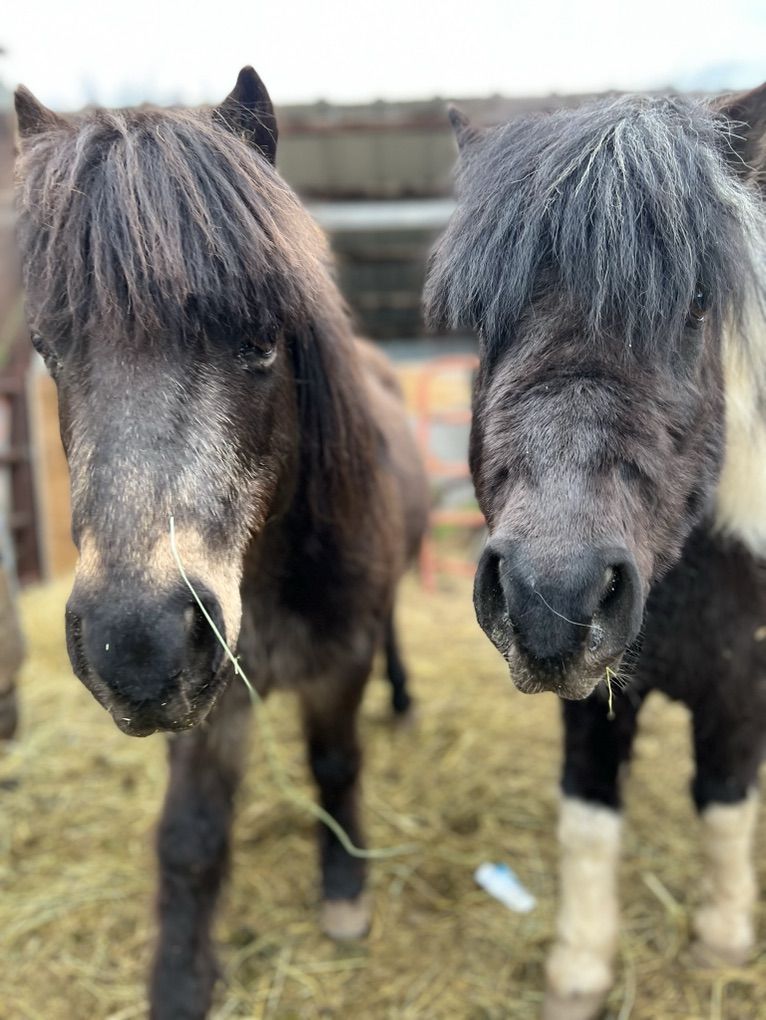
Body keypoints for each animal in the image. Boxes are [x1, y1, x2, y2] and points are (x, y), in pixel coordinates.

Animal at [14, 67, 429, 1019]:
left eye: (264, 337)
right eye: (47, 347)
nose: (135, 648)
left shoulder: (338, 663)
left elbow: (334, 763)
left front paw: (345, 893)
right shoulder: (210, 705)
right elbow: (191, 835)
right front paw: (178, 979)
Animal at [425, 85, 766, 1019]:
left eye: (695, 303)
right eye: (482, 317)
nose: (553, 597)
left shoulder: (739, 689)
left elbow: (724, 805)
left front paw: (721, 940)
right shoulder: (592, 696)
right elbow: (588, 819)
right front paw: (579, 968)